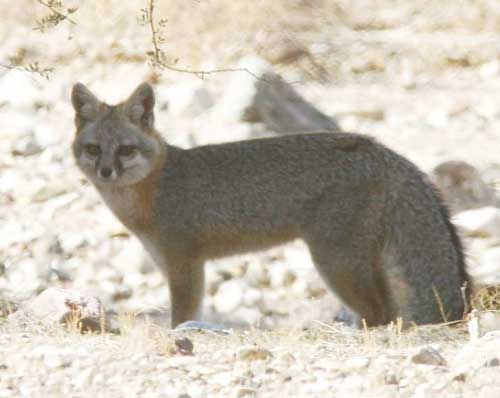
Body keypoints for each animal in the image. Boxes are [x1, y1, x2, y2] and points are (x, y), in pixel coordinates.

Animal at [70, 82, 468, 328]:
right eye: (93, 149)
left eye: (125, 150)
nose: (106, 171)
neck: (153, 188)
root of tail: (382, 151)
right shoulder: (172, 263)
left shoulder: (186, 265)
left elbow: (181, 317)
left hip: (336, 263)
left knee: (380, 312)